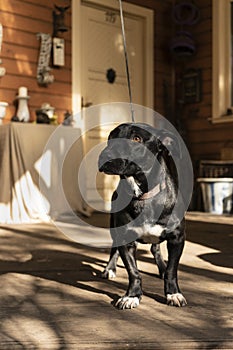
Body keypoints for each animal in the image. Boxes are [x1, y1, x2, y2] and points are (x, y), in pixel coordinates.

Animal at [98, 123, 187, 308]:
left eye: (136, 138)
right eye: (111, 137)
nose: (105, 156)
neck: (142, 194)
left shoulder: (177, 239)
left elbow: (172, 270)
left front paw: (173, 293)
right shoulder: (125, 238)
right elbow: (133, 272)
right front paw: (132, 295)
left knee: (156, 249)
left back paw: (161, 267)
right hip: (113, 227)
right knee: (114, 248)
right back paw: (110, 268)